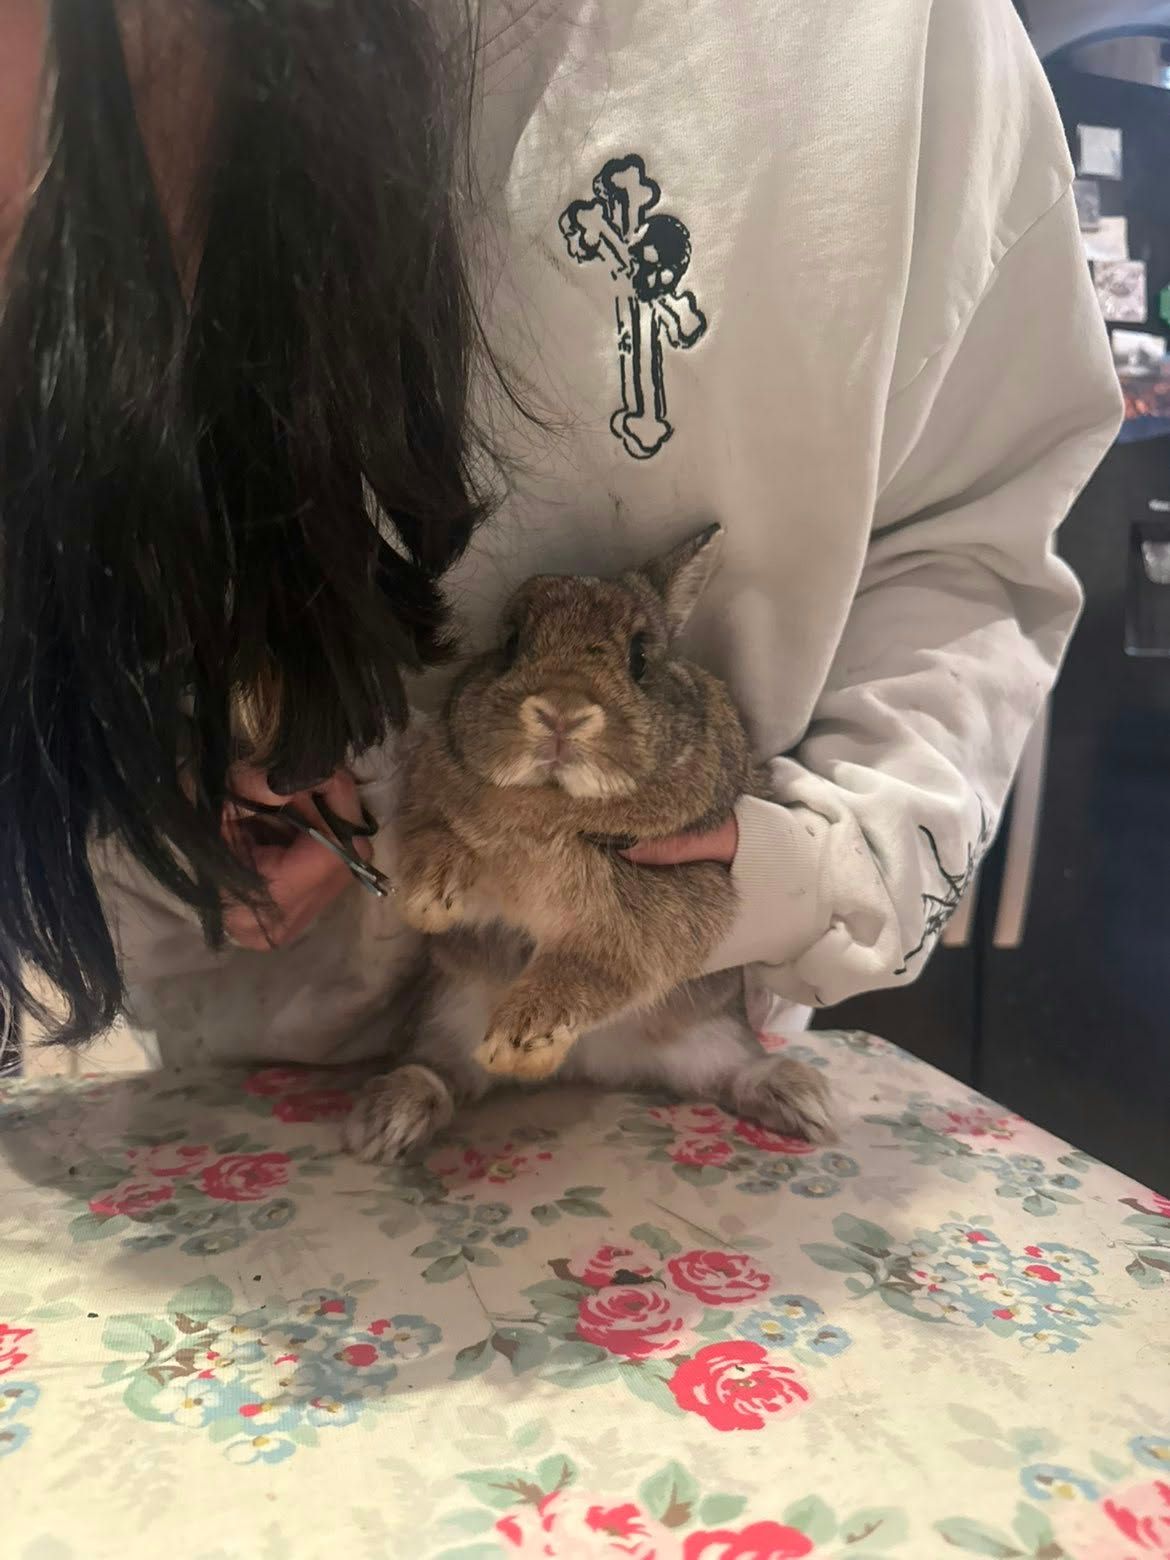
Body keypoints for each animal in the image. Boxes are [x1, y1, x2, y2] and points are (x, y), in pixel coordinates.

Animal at [344, 524, 833, 1163]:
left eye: (640, 658)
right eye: (511, 643)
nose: (562, 712)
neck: (556, 801)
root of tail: (601, 1066)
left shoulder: (667, 900)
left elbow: (598, 960)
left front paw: (524, 1035)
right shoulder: (438, 813)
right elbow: (442, 842)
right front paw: (429, 899)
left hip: (713, 1029)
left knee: (733, 1070)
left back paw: (799, 1099)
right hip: (449, 1016)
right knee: (438, 1069)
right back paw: (389, 1117)